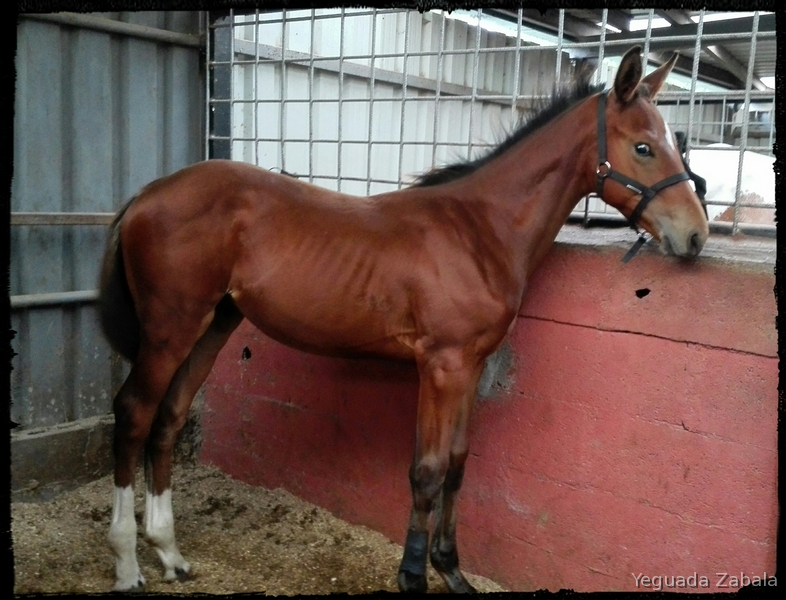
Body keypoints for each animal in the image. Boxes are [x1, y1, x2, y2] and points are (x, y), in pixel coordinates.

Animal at [98, 46, 708, 593]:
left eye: (674, 141)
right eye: (644, 147)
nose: (696, 235)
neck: (479, 230)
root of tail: (146, 194)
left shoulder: (469, 367)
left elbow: (457, 463)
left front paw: (452, 571)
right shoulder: (441, 366)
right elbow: (427, 470)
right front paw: (413, 574)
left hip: (213, 325)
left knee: (169, 418)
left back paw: (170, 554)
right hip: (169, 329)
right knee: (134, 414)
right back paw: (127, 565)